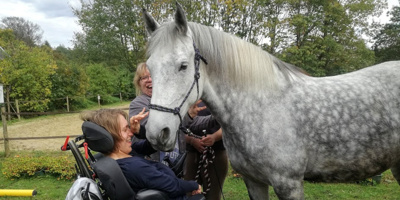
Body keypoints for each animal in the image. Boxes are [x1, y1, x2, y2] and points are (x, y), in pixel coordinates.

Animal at [142, 3, 400, 200]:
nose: (157, 133)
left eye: (183, 66)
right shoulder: (254, 181)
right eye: (150, 68)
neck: (261, 107)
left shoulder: (289, 184)